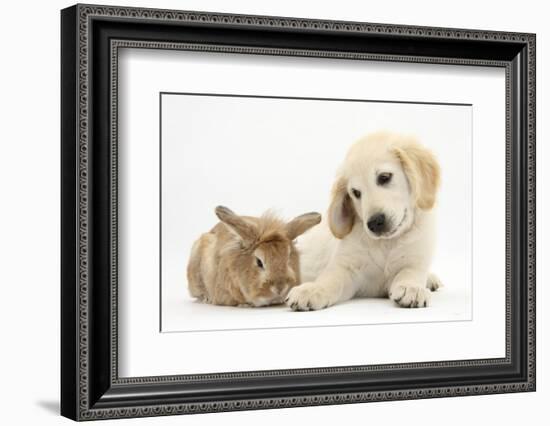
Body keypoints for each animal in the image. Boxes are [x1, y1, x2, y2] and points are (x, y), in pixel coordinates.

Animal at [288, 131, 444, 312]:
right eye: (355, 192)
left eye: (384, 177)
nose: (374, 223)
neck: (386, 244)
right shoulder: (346, 267)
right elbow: (329, 279)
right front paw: (311, 289)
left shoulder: (415, 260)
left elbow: (410, 273)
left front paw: (411, 287)